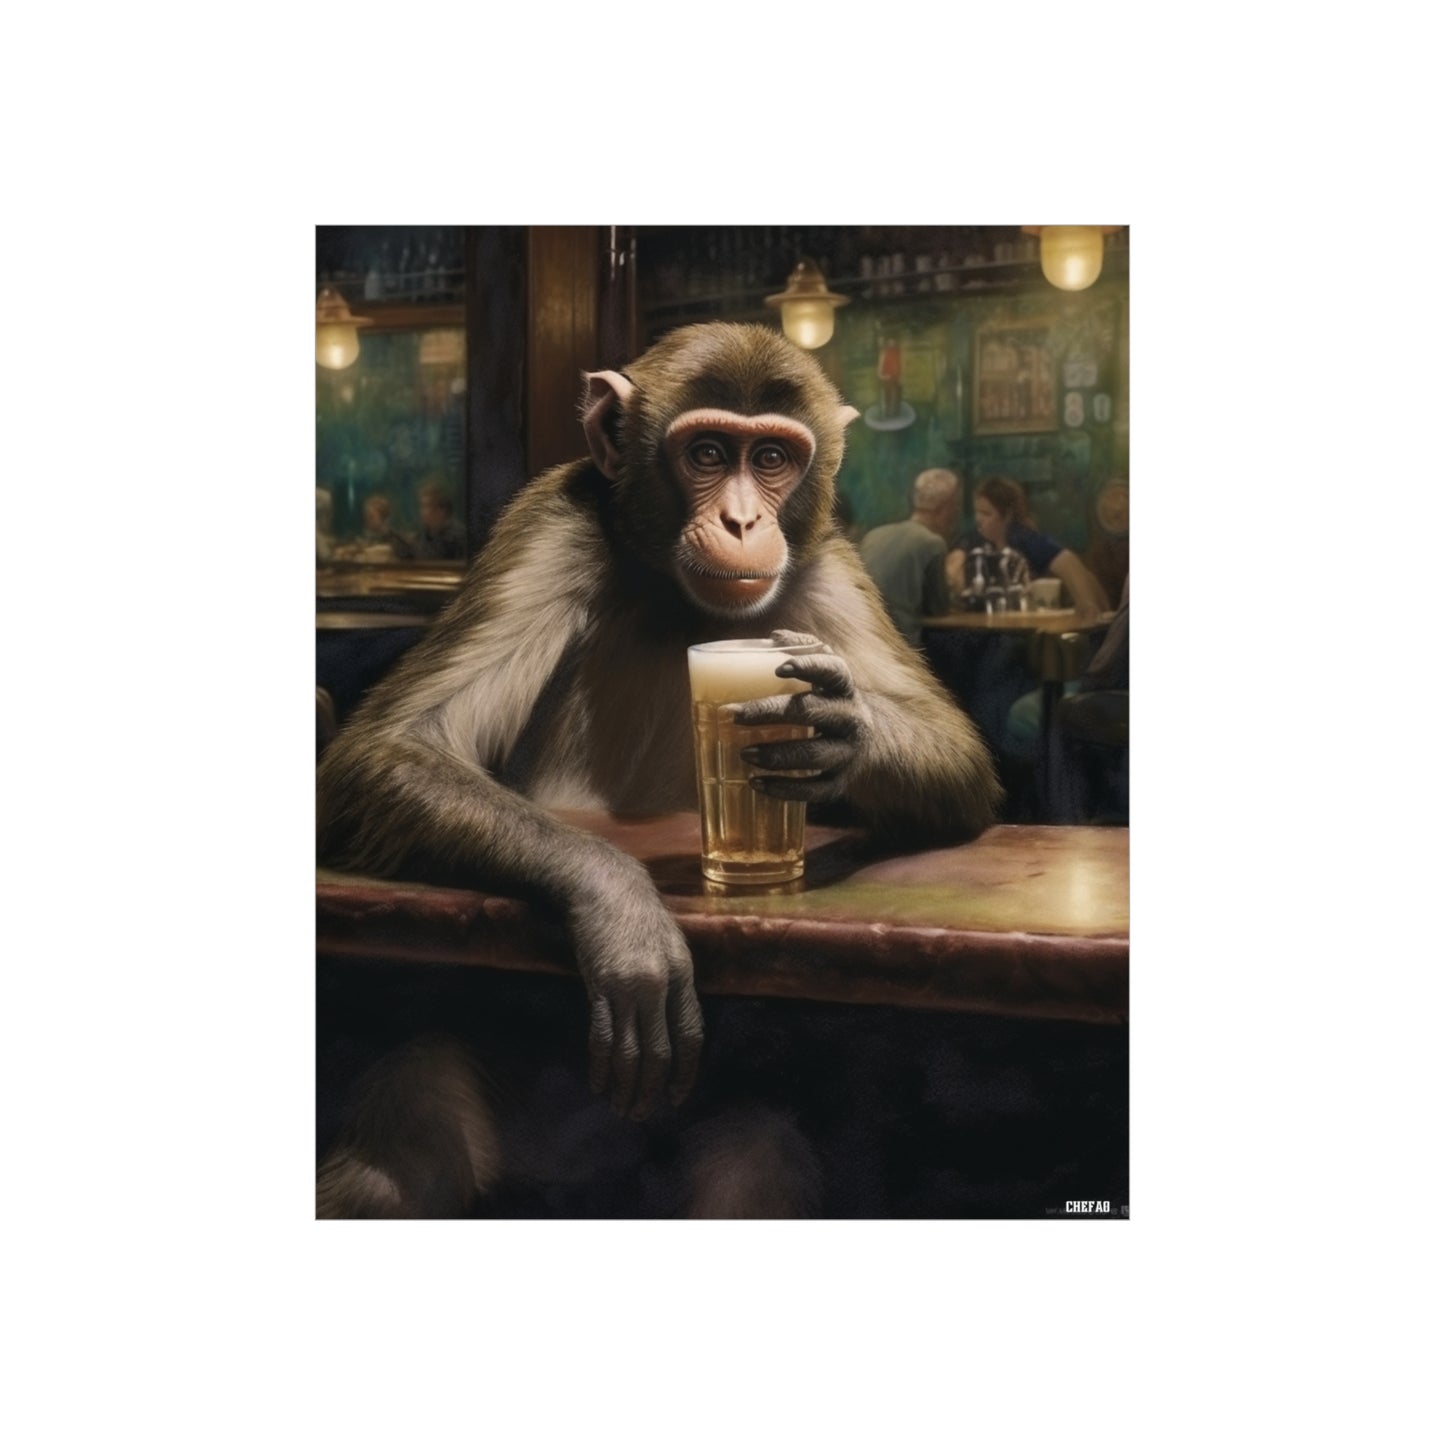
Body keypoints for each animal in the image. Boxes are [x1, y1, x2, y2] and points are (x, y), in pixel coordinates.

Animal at [316, 322, 1002, 1216]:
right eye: (707, 453)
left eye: (772, 458)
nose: (743, 519)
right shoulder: (546, 527)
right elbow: (400, 741)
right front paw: (622, 907)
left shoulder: (830, 567)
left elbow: (955, 757)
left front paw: (837, 730)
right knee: (403, 1136)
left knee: (754, 1159)